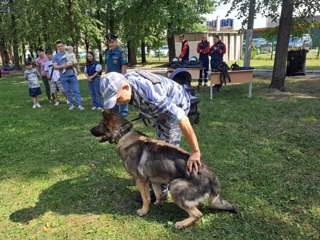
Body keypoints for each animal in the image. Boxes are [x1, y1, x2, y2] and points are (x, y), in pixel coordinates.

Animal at [90, 110, 235, 229]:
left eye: (100, 124)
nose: (90, 130)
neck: (123, 134)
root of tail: (211, 176)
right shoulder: (154, 180)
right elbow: (158, 194)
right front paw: (158, 203)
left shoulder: (140, 180)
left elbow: (145, 198)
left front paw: (144, 211)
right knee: (199, 206)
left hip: (175, 185)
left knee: (198, 214)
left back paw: (181, 224)